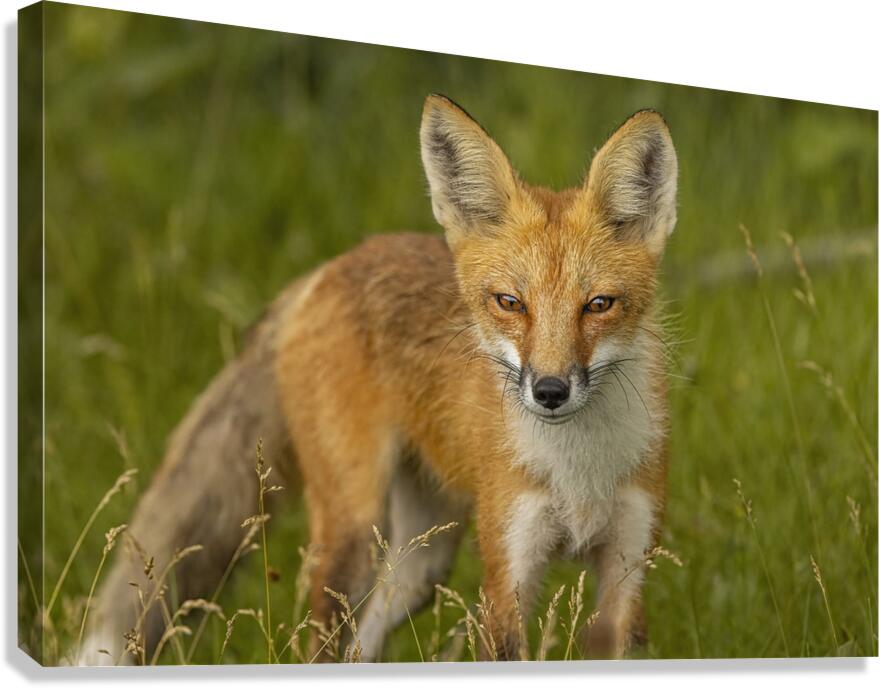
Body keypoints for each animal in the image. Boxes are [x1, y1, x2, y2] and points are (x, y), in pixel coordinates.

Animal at [78, 94, 678, 665]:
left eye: (598, 305)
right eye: (510, 303)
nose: (549, 390)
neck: (580, 473)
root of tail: (328, 269)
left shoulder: (626, 571)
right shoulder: (507, 575)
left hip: (421, 563)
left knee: (364, 642)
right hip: (353, 533)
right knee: (320, 645)